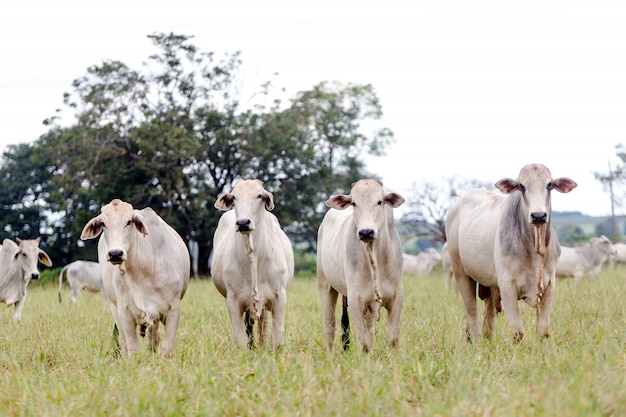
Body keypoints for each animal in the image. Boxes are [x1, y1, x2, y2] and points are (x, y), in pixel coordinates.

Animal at [80, 200, 189, 356]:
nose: (115, 253)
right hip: (115, 308)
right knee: (123, 340)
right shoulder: (124, 312)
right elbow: (133, 348)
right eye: (103, 223)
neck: (145, 269)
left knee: (153, 337)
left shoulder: (173, 308)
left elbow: (167, 349)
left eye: (129, 221)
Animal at [211, 179, 294, 348]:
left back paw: (262, 345)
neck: (253, 257)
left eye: (259, 195)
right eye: (234, 197)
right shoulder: (233, 300)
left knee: (263, 324)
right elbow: (240, 340)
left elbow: (277, 340)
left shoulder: (279, 297)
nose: (243, 223)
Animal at [316, 178, 404, 352]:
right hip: (326, 286)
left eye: (380, 201)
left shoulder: (397, 296)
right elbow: (363, 343)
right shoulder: (355, 299)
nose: (366, 232)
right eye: (353, 203)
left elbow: (392, 339)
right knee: (329, 326)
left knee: (369, 330)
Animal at [444, 162, 576, 342]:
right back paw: (476, 341)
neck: (534, 249)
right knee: (471, 312)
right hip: (461, 273)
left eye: (549, 184)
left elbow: (543, 331)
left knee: (488, 317)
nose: (538, 215)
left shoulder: (549, 284)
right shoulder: (507, 285)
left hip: (488, 283)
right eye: (522, 186)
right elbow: (517, 332)